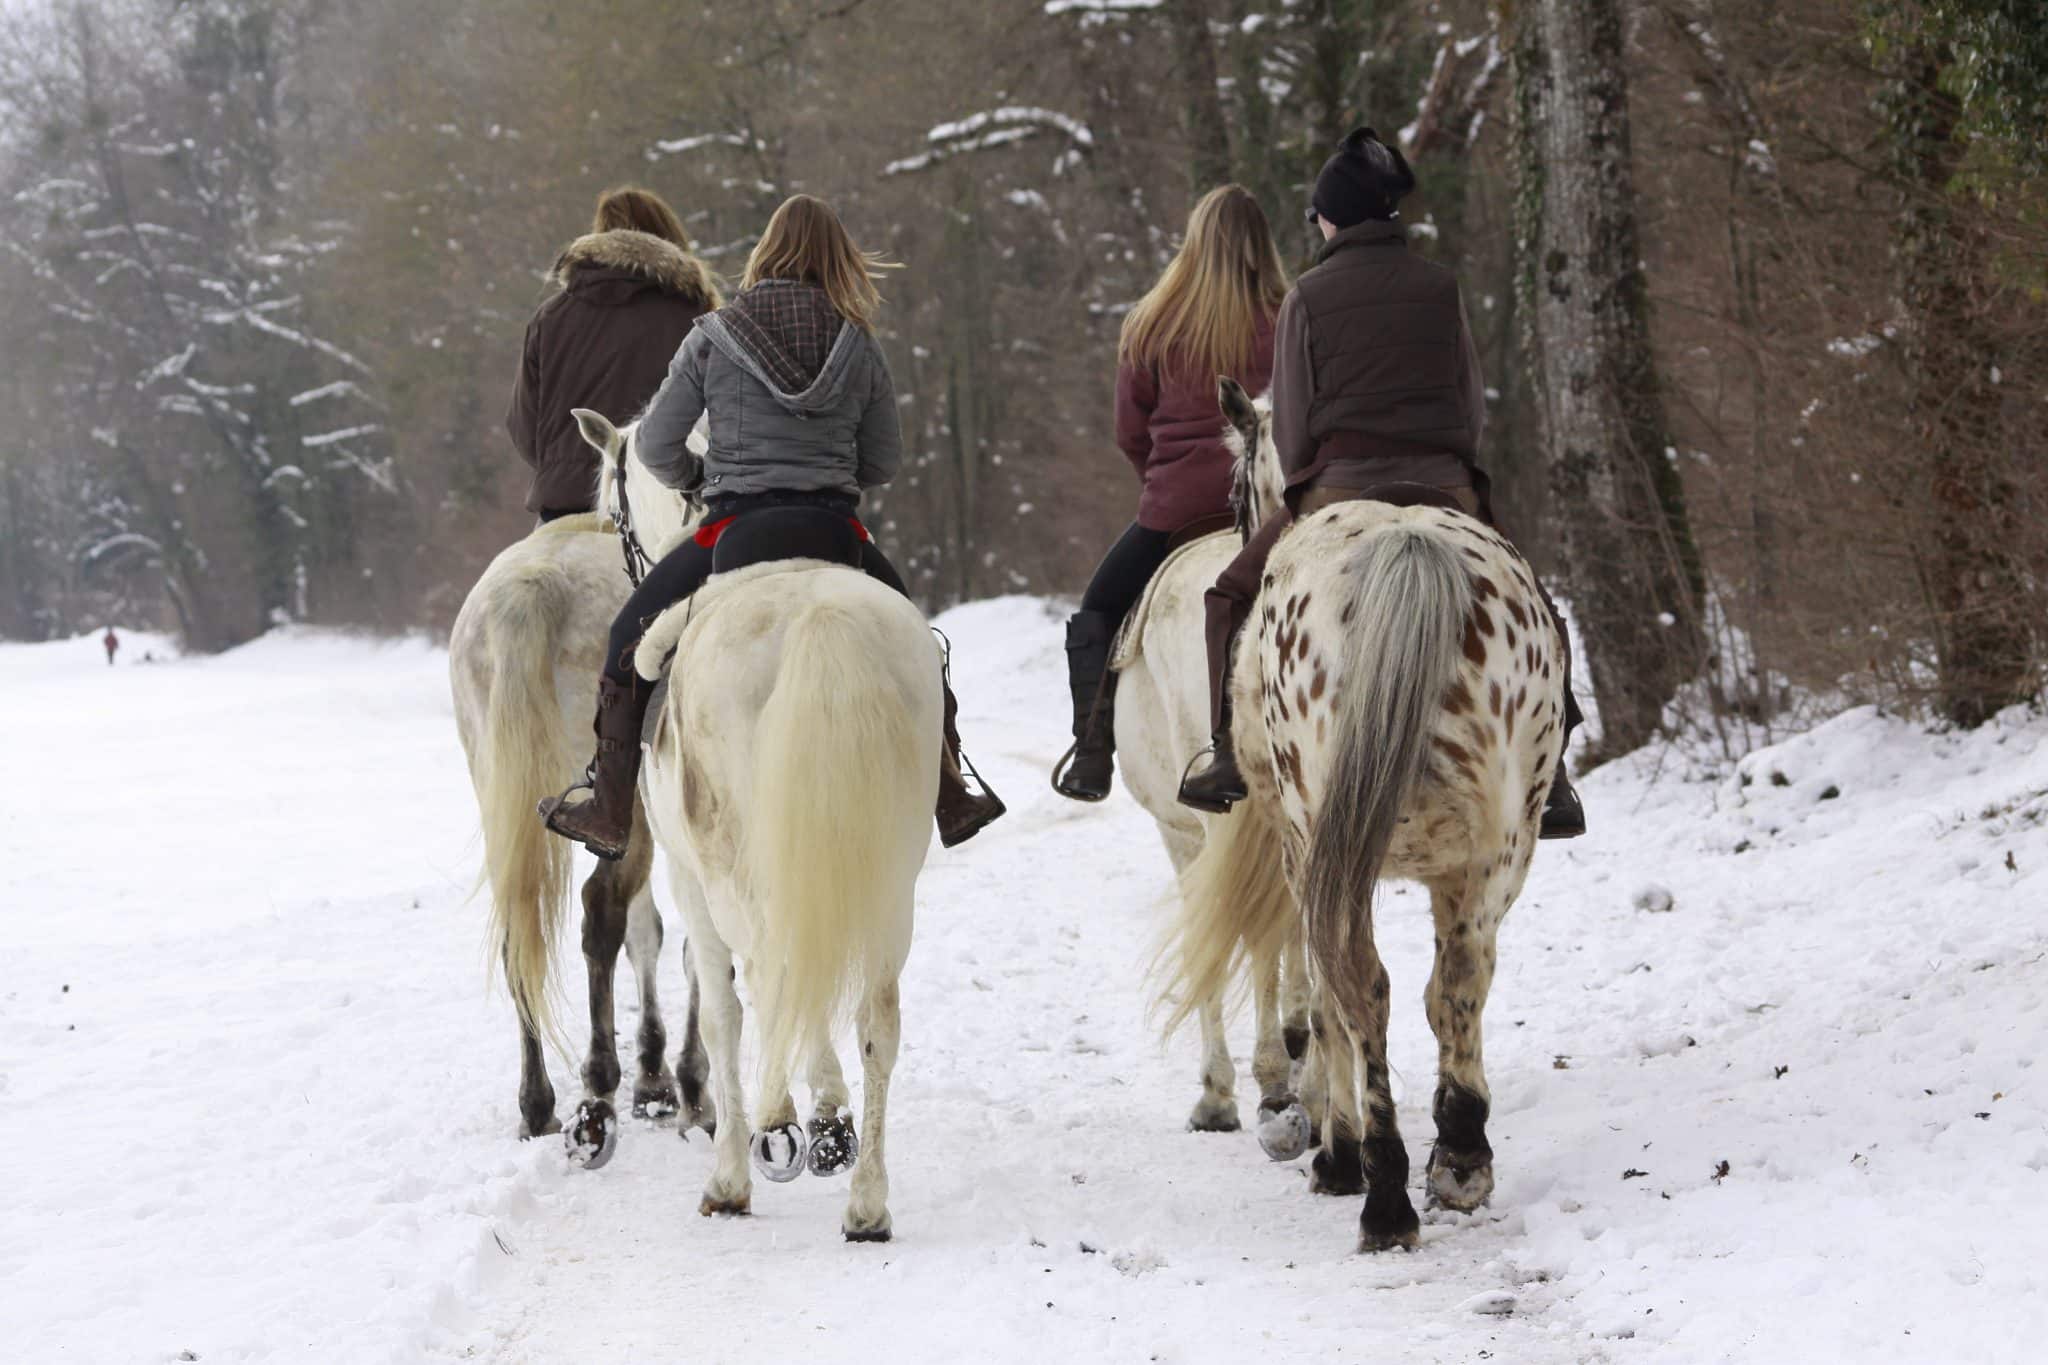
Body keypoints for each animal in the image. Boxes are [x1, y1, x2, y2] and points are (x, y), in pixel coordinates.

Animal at [448, 511, 712, 1162]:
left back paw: (539, 1105)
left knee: (519, 933)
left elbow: (651, 935)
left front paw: (656, 1078)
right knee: (603, 915)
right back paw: (601, 1087)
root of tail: (528, 589)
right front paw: (674, 1083)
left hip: (503, 793)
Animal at [569, 405, 937, 1236]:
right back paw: (868, 1201)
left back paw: (770, 1131)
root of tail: (821, 613)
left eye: (613, 508)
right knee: (877, 1014)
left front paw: (755, 1152)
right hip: (891, 871)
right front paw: (828, 1121)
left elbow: (723, 1008)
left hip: (734, 865)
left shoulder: (691, 876)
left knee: (773, 970)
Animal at [1171, 378, 1564, 1252]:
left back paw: (1376, 1182)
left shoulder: (1302, 851)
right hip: (1500, 845)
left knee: (1361, 987)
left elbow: (1322, 999)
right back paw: (1459, 1157)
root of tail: (1407, 543)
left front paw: (1328, 1138)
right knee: (1455, 980)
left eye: (1236, 490)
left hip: (1335, 841)